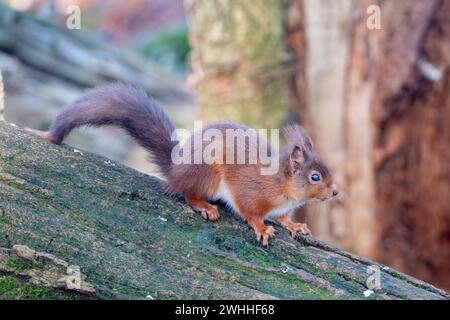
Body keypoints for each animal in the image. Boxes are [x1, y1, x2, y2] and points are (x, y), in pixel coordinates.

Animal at [29, 82, 340, 245]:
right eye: (315, 177)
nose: (336, 192)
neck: (282, 184)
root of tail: (176, 168)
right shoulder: (251, 192)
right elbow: (250, 212)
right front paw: (262, 229)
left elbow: (285, 217)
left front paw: (295, 226)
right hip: (207, 176)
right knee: (186, 193)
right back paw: (204, 206)